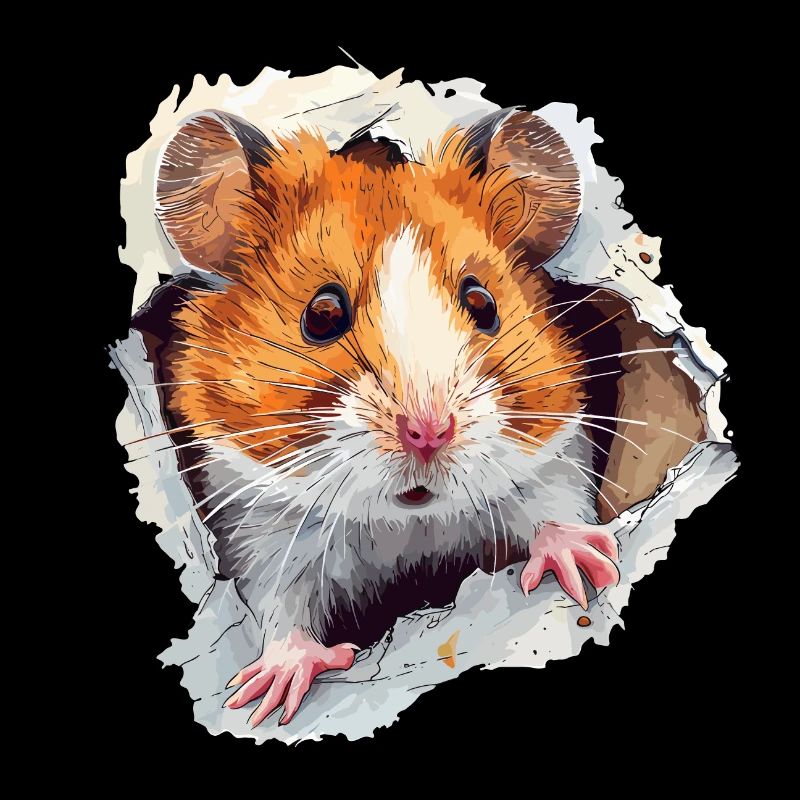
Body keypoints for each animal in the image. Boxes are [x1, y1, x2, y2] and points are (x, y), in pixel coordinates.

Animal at [133, 107, 624, 727]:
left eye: (483, 303)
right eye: (321, 314)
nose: (429, 432)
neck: (406, 524)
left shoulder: (554, 462)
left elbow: (554, 511)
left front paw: (592, 563)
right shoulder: (259, 534)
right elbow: (281, 611)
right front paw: (268, 695)